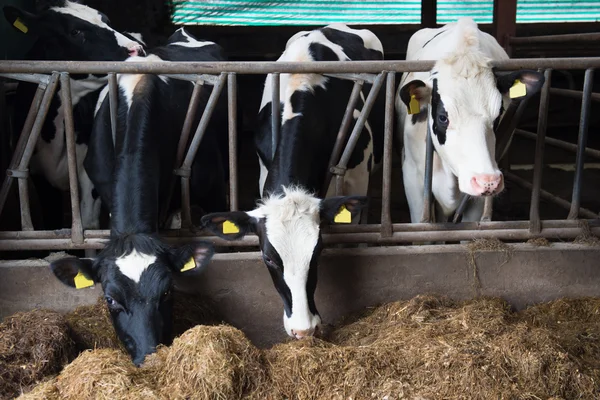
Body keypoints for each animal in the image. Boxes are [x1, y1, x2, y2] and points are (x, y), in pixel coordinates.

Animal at [3, 0, 145, 230]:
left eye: (107, 21)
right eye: (75, 31)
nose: (137, 49)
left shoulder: (90, 171)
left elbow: (87, 223)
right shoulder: (38, 174)